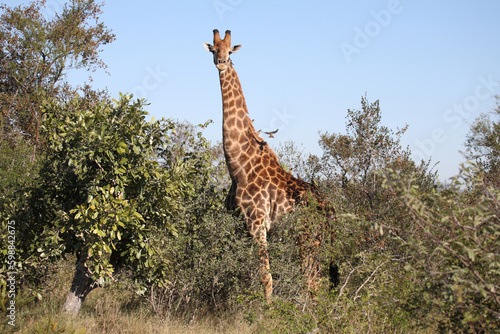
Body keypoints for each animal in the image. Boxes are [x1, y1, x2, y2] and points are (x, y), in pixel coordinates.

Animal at [203, 29, 336, 302]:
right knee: (317, 281)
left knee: (312, 281)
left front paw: (268, 309)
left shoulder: (257, 224)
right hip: (315, 240)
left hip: (307, 239)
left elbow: (266, 277)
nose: (221, 63)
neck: (238, 165)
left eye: (229, 51)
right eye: (214, 49)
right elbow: (242, 274)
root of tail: (329, 209)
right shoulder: (239, 225)